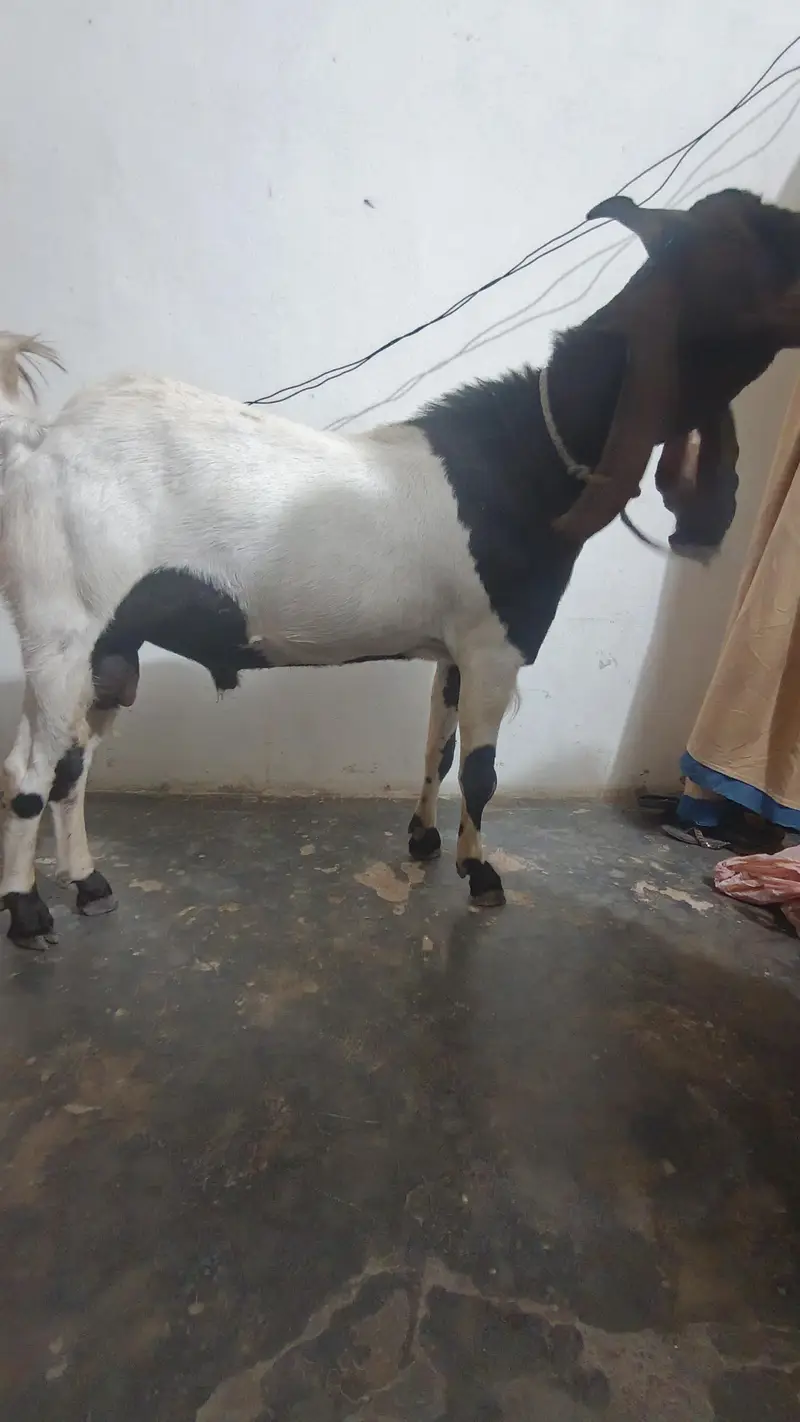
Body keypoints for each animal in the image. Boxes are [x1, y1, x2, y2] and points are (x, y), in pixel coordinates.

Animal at [1, 187, 800, 948]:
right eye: (750, 246)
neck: (522, 461)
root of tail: (39, 438)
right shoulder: (495, 647)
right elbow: (481, 770)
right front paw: (480, 874)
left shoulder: (453, 650)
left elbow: (437, 752)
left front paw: (422, 840)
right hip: (60, 632)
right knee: (28, 770)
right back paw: (28, 913)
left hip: (110, 648)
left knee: (72, 767)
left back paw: (89, 884)